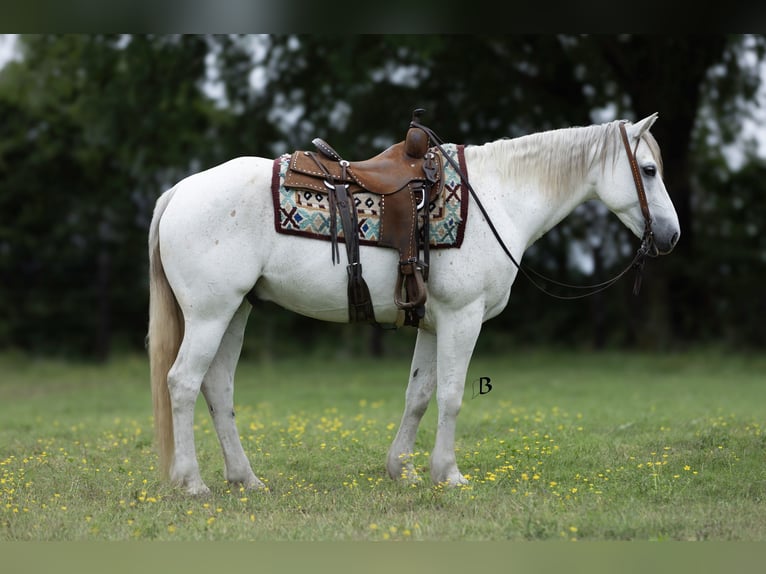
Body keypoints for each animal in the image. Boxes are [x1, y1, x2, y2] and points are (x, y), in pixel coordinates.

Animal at [150, 112, 684, 496]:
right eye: (649, 170)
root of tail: (177, 191)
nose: (672, 236)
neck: (500, 198)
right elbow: (451, 395)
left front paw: (400, 470)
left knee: (218, 388)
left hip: (235, 311)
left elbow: (419, 395)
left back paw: (246, 479)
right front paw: (447, 473)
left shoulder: (432, 322)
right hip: (211, 314)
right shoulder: (463, 318)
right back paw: (193, 483)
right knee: (183, 383)